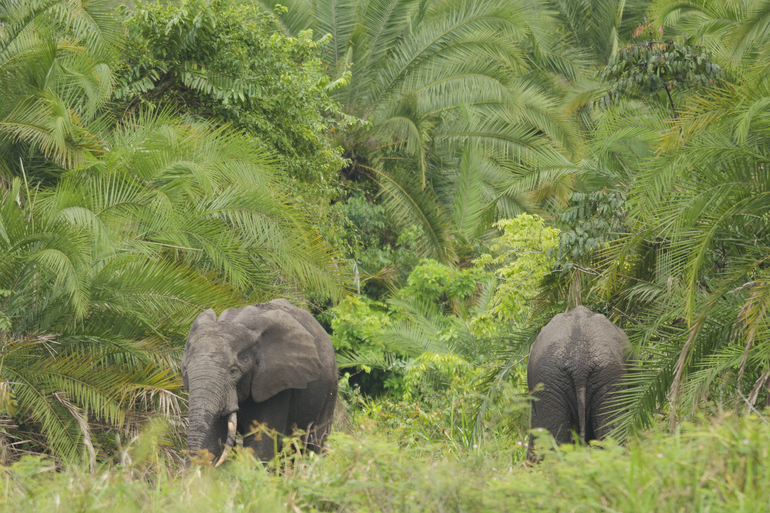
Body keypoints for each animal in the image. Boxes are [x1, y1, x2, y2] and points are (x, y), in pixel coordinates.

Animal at [183, 298, 336, 466]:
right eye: (186, 370)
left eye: (233, 372)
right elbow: (213, 445)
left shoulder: (276, 383)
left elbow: (262, 446)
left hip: (330, 389)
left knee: (314, 443)